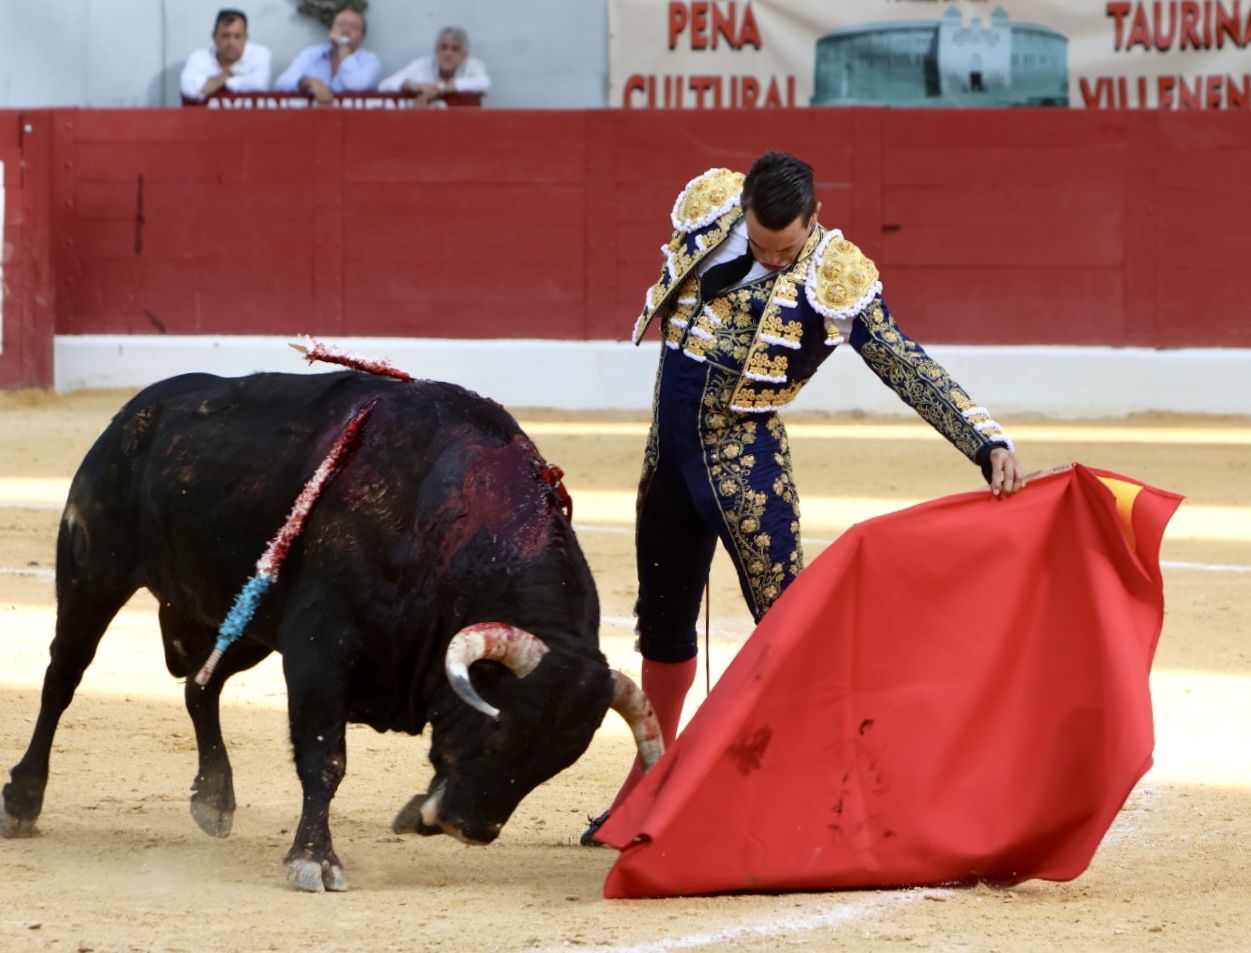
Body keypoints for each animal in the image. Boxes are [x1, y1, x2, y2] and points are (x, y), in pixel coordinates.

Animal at [2, 370, 665, 890]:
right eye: (501, 728)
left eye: (559, 760)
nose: (469, 829)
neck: (440, 524)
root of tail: (138, 410)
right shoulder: (319, 649)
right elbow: (325, 757)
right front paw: (313, 861)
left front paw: (413, 814)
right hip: (93, 573)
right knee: (62, 679)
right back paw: (23, 801)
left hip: (248, 624)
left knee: (199, 685)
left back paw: (213, 799)